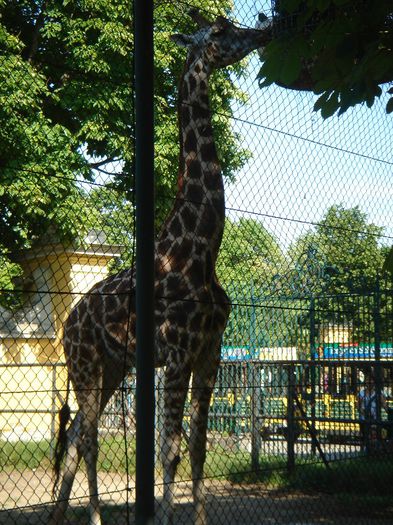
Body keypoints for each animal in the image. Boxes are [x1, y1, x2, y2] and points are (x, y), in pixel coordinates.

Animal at [49, 9, 270, 524]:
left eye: (231, 24)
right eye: (219, 31)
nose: (264, 31)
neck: (201, 250)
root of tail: (68, 320)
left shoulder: (209, 353)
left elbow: (198, 449)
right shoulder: (176, 355)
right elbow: (169, 450)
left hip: (112, 369)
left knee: (76, 438)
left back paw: (59, 515)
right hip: (85, 364)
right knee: (89, 439)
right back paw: (91, 516)